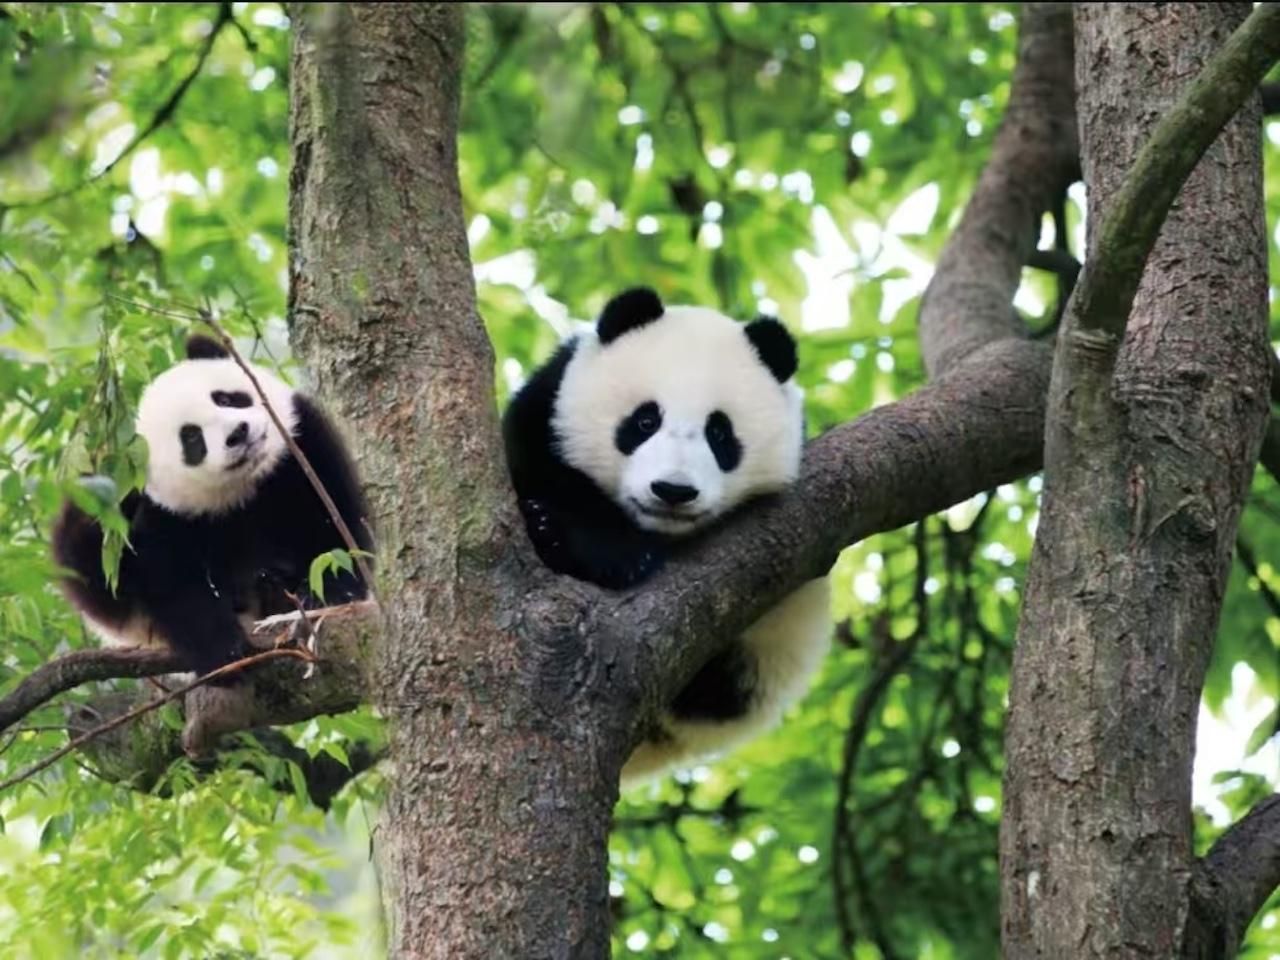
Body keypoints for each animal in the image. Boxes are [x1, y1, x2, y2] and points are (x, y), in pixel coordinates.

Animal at [51, 333, 375, 682]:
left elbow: (334, 521)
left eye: (226, 399)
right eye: (192, 437)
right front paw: (226, 653)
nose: (238, 433)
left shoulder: (302, 449)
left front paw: (329, 592)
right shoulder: (164, 518)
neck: (245, 487)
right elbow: (175, 587)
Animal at [503, 286, 832, 787]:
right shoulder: (547, 409)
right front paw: (576, 536)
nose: (673, 490)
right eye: (644, 421)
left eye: (720, 433)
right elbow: (535, 462)